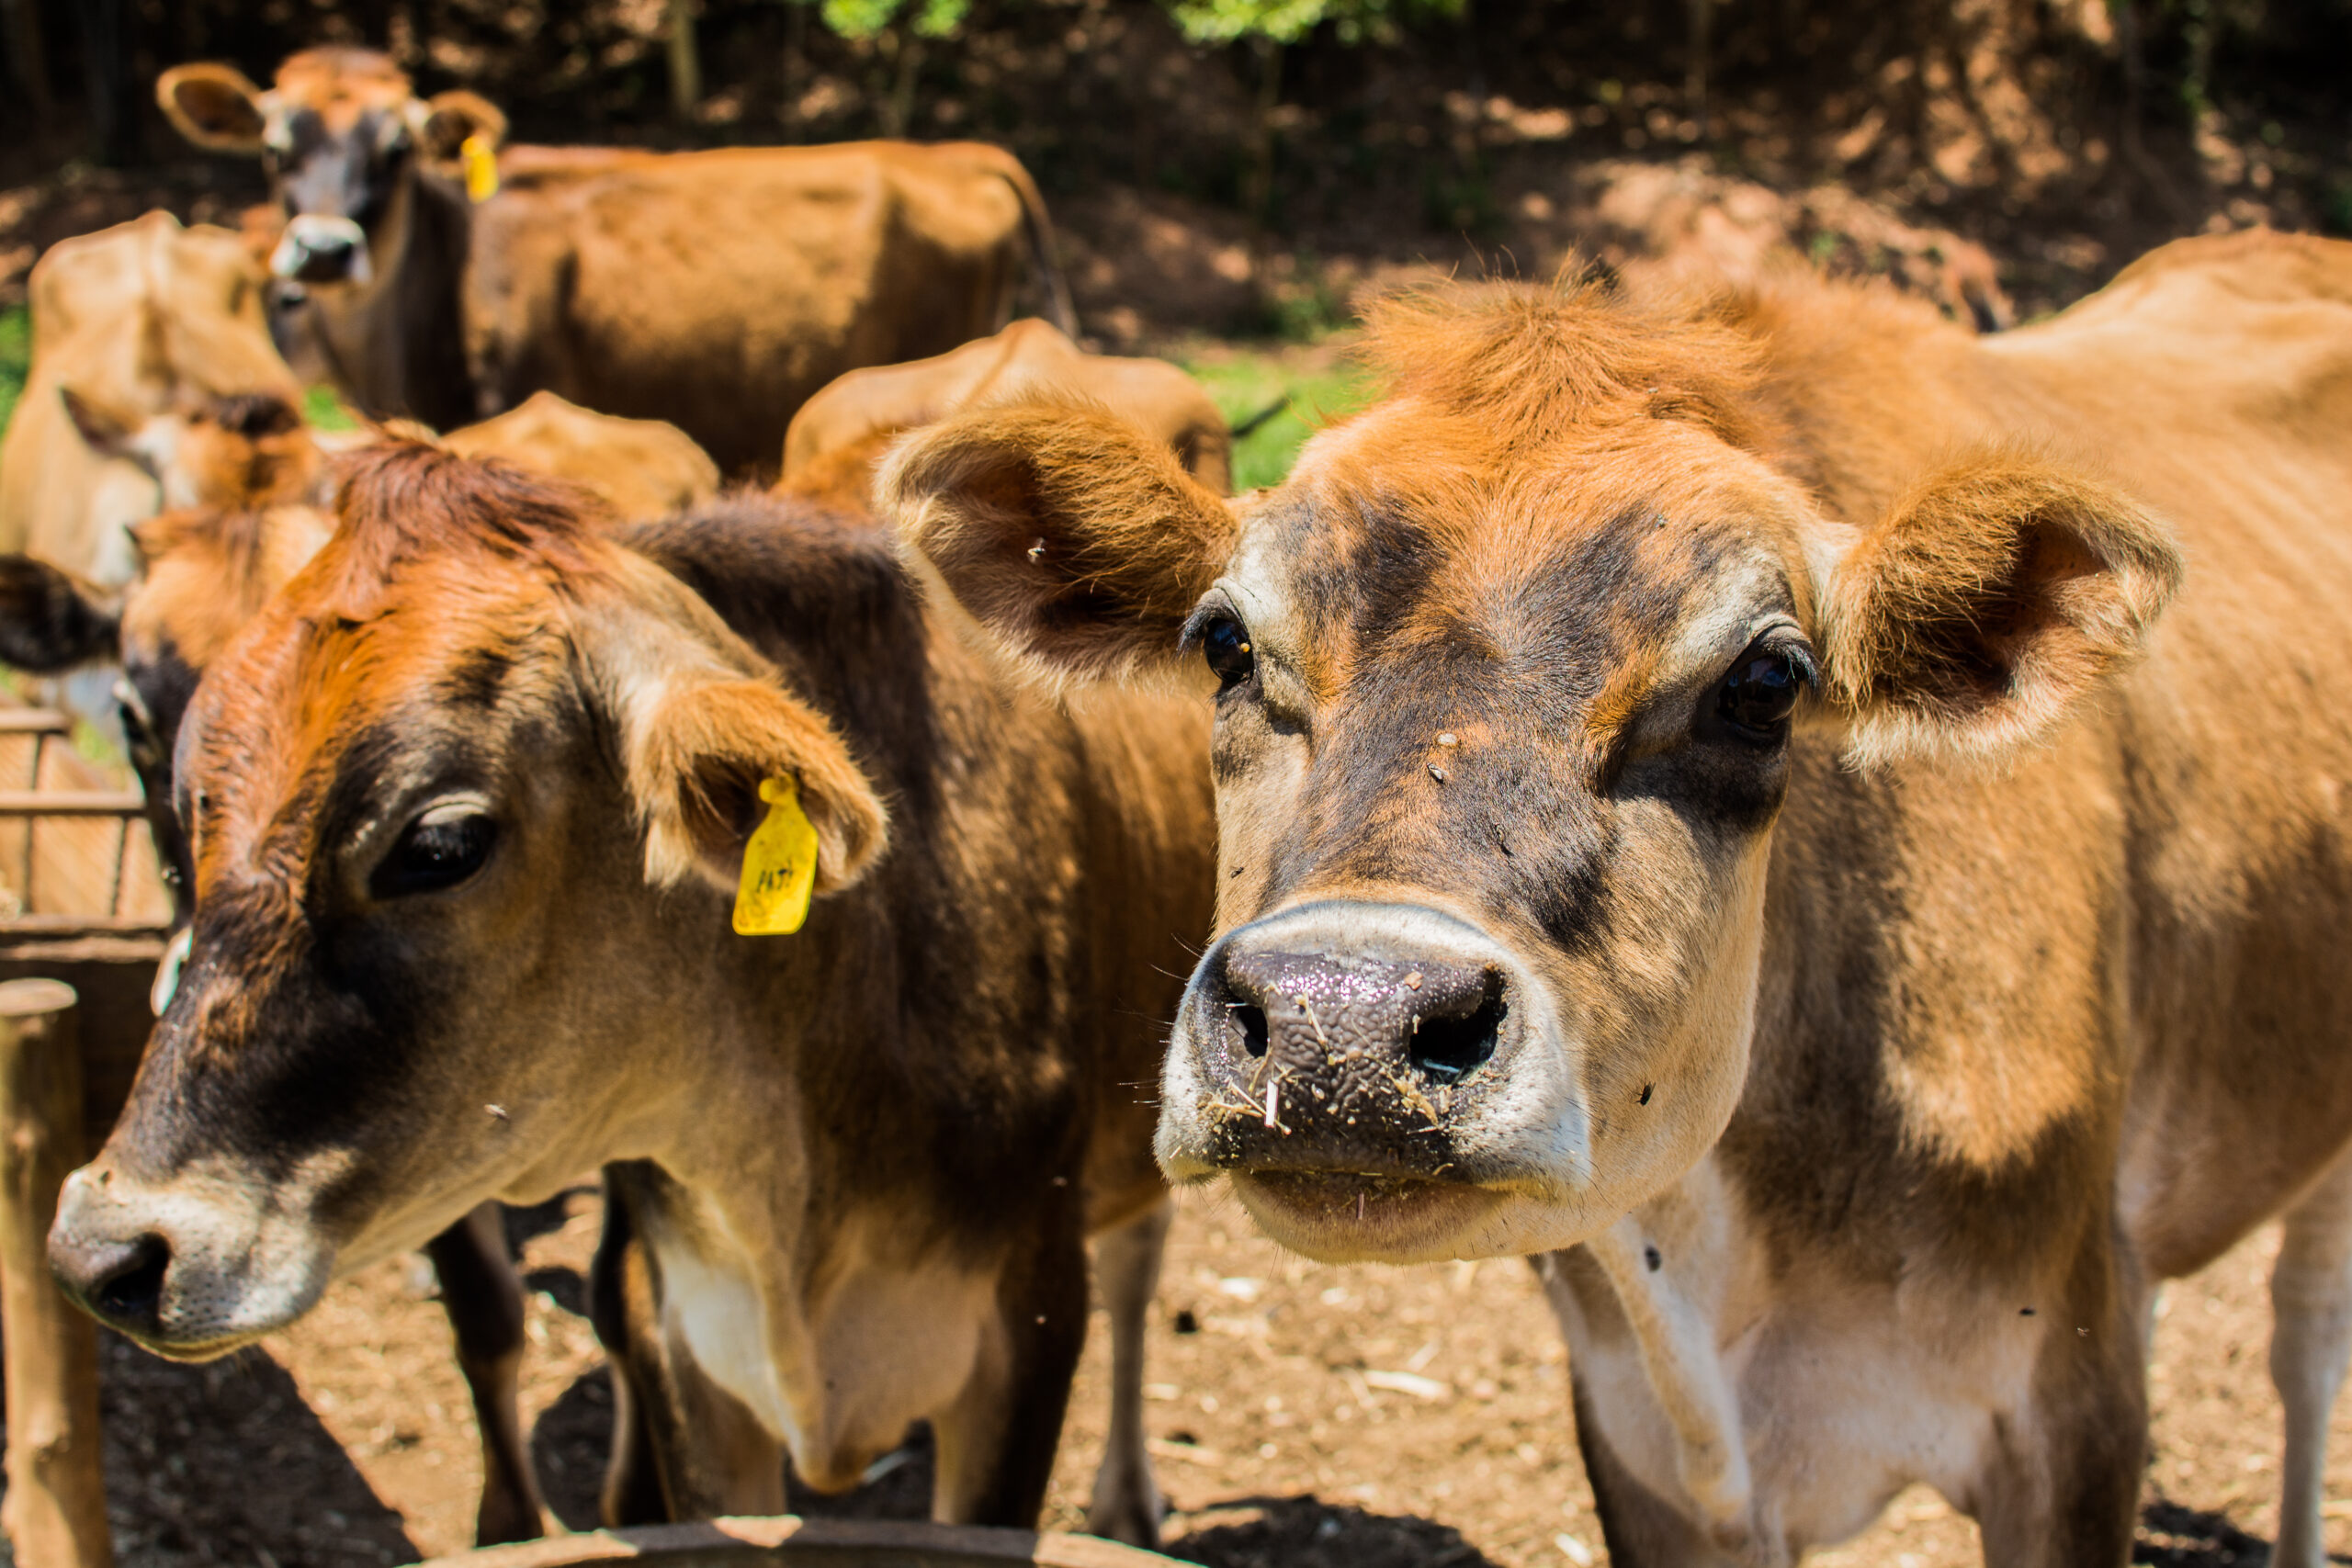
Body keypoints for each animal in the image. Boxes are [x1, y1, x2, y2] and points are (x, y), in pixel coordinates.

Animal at [44, 441, 1214, 1537]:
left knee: (1138, 1268)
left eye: (439, 845)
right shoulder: (684, 1345)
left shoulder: (1026, 1332)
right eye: (174, 771)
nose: (109, 1250)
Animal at [878, 229, 2352, 1567]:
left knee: (2305, 1336)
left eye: (1766, 682)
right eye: (1227, 642)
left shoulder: (2066, 1421)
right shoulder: (1641, 1439)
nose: (1339, 1028)